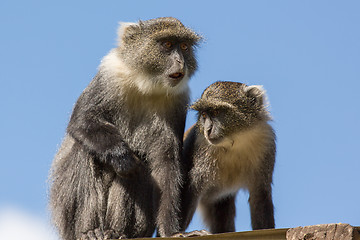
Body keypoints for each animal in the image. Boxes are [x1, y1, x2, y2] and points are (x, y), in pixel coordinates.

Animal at [49, 17, 202, 240]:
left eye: (184, 46)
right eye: (167, 44)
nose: (180, 61)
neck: (146, 84)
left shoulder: (177, 102)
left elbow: (165, 164)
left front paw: (172, 232)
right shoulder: (109, 75)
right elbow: (82, 121)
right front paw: (121, 156)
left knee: (140, 168)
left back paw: (116, 232)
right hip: (68, 219)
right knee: (85, 151)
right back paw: (90, 231)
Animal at [180, 81, 276, 233]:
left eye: (216, 112)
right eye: (204, 115)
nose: (207, 130)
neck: (235, 141)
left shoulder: (266, 145)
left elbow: (260, 194)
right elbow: (190, 188)